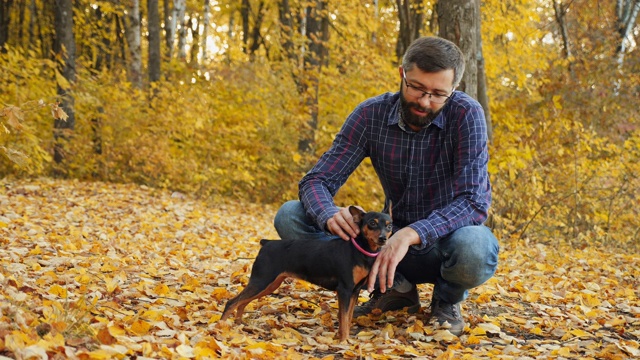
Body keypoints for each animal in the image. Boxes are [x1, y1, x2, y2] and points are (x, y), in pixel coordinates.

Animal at [220, 205, 390, 340]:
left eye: (389, 226)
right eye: (372, 223)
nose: (383, 239)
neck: (359, 250)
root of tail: (267, 243)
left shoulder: (354, 291)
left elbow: (347, 319)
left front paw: (345, 339)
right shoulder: (345, 290)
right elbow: (343, 319)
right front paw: (344, 342)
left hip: (270, 284)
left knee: (242, 302)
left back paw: (239, 325)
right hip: (261, 280)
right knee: (232, 302)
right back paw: (220, 328)